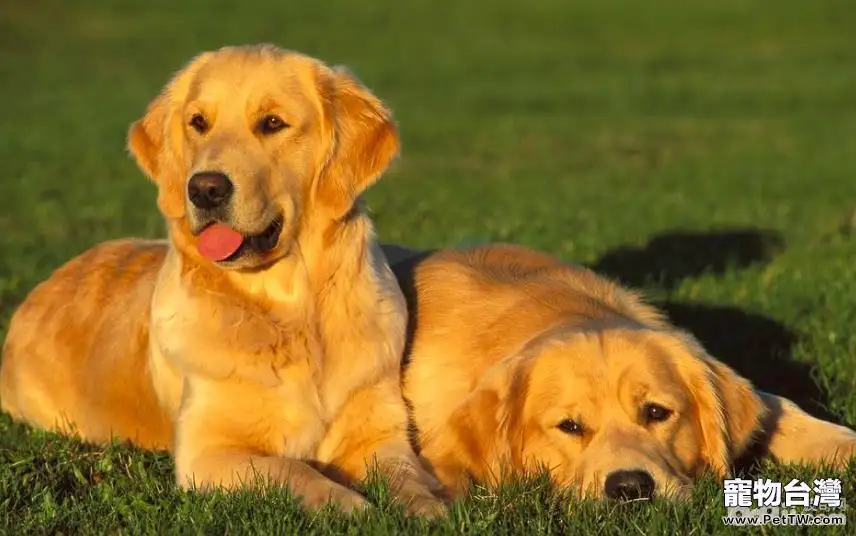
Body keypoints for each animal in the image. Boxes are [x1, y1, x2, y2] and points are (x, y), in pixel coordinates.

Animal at [0, 45, 442, 516]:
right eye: (198, 122)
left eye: (272, 123)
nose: (204, 189)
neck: (291, 312)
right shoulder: (208, 452)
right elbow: (292, 469)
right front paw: (350, 505)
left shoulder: (381, 433)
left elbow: (406, 476)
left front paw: (426, 509)